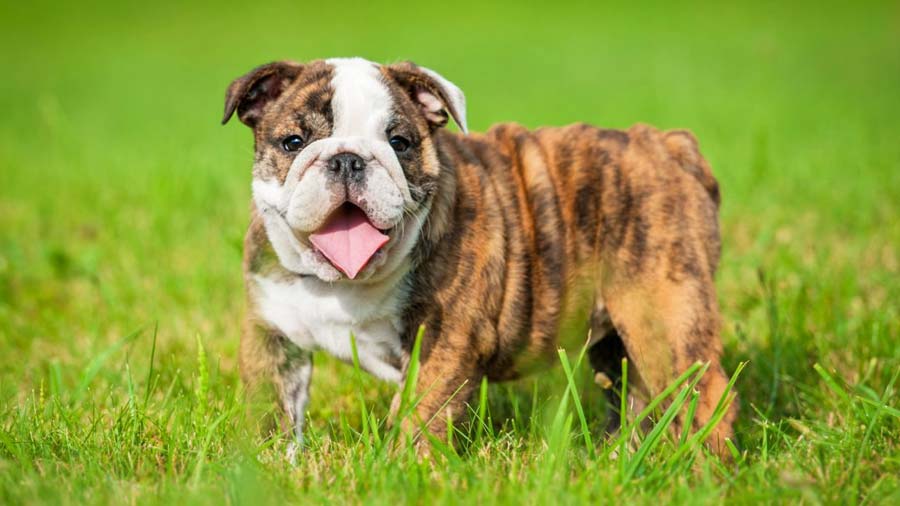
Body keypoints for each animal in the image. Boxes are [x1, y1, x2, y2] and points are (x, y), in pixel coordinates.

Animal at [223, 57, 740, 456]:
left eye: (399, 143)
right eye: (293, 142)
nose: (348, 159)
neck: (345, 283)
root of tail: (669, 144)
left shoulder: (442, 340)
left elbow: (420, 413)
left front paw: (404, 469)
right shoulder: (272, 334)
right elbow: (272, 408)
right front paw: (267, 467)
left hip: (665, 316)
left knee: (704, 394)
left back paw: (704, 472)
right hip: (621, 336)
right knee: (637, 393)